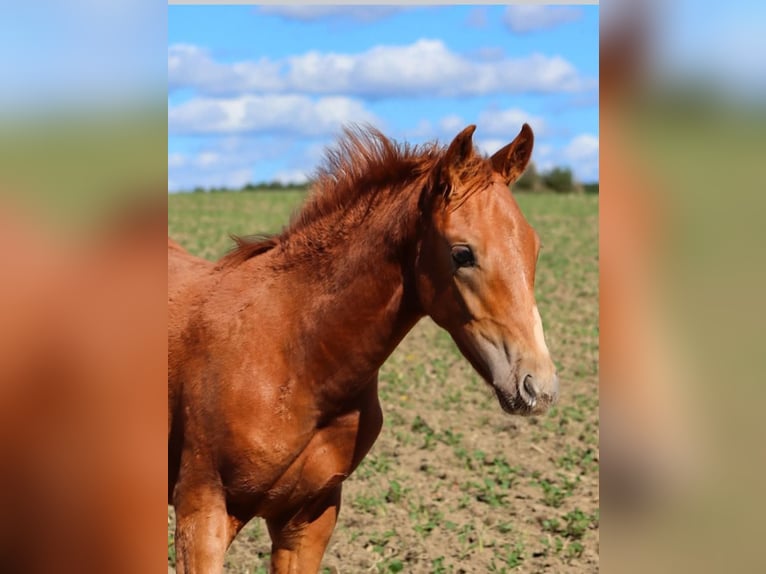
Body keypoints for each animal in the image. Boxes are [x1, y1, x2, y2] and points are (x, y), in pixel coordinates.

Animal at [168, 123, 559, 573]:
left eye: (534, 247)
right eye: (462, 253)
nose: (538, 387)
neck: (293, 357)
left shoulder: (308, 518)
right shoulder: (202, 513)